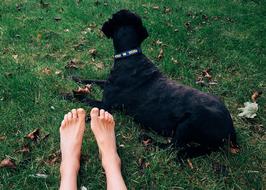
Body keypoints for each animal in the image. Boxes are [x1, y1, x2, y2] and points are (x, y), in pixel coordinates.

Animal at [71, 9, 238, 157]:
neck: (130, 56)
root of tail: (231, 129)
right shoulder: (106, 84)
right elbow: (94, 80)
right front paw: (74, 77)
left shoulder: (107, 105)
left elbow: (84, 98)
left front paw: (68, 95)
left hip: (188, 123)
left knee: (173, 148)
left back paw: (148, 139)